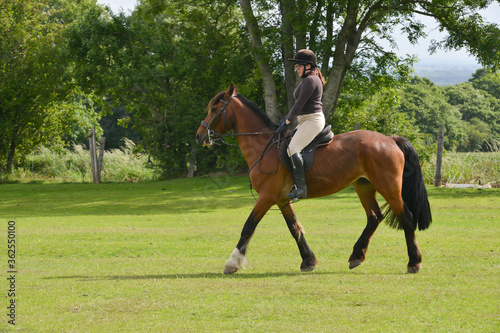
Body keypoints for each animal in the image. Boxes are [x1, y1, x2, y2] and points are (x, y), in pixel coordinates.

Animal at [193, 82, 432, 272]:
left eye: (214, 109)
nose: (199, 136)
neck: (264, 146)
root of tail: (391, 139)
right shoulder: (281, 198)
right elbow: (294, 228)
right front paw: (308, 261)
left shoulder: (267, 197)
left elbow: (248, 226)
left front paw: (232, 263)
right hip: (364, 186)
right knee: (374, 217)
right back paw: (356, 256)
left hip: (389, 188)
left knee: (406, 217)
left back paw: (413, 262)